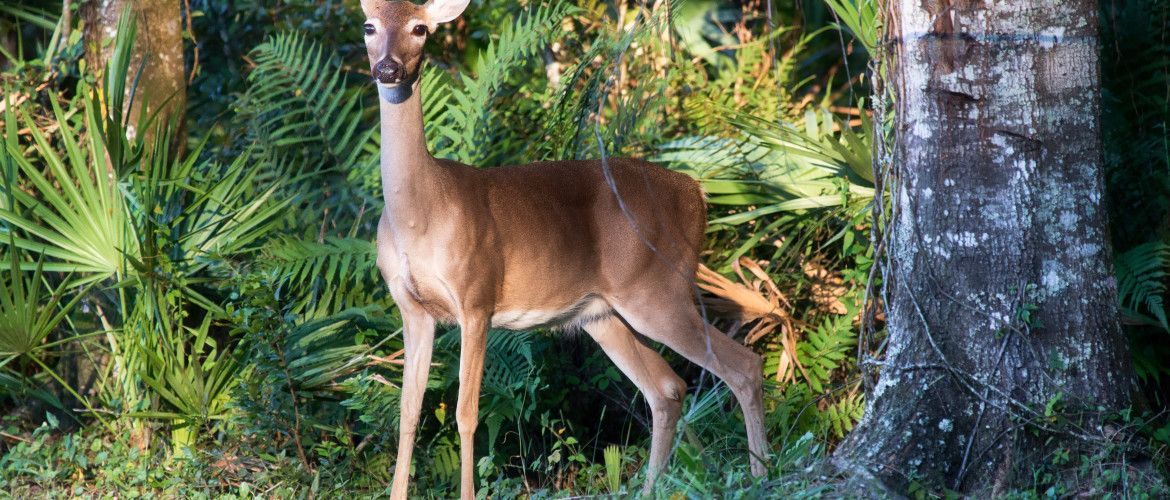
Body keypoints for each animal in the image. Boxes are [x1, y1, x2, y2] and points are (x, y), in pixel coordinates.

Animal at [358, 0, 768, 497]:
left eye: (420, 29)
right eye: (369, 26)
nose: (388, 68)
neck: (419, 215)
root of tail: (698, 194)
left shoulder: (476, 297)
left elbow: (465, 414)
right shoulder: (412, 308)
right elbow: (408, 412)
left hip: (659, 289)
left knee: (743, 365)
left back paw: (763, 474)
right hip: (603, 313)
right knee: (667, 387)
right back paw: (652, 486)